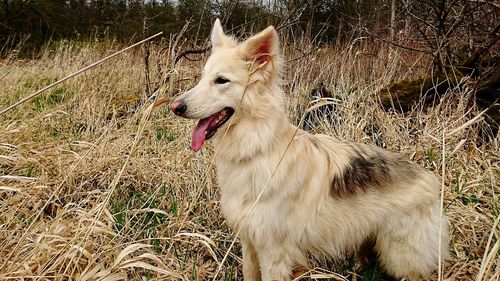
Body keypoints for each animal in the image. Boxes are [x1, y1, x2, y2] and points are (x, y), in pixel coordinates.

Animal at [172, 19, 450, 280]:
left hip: (401, 260)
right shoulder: (249, 242)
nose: (175, 107)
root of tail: (431, 179)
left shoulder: (273, 253)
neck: (259, 148)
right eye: (202, 77)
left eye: (221, 81)